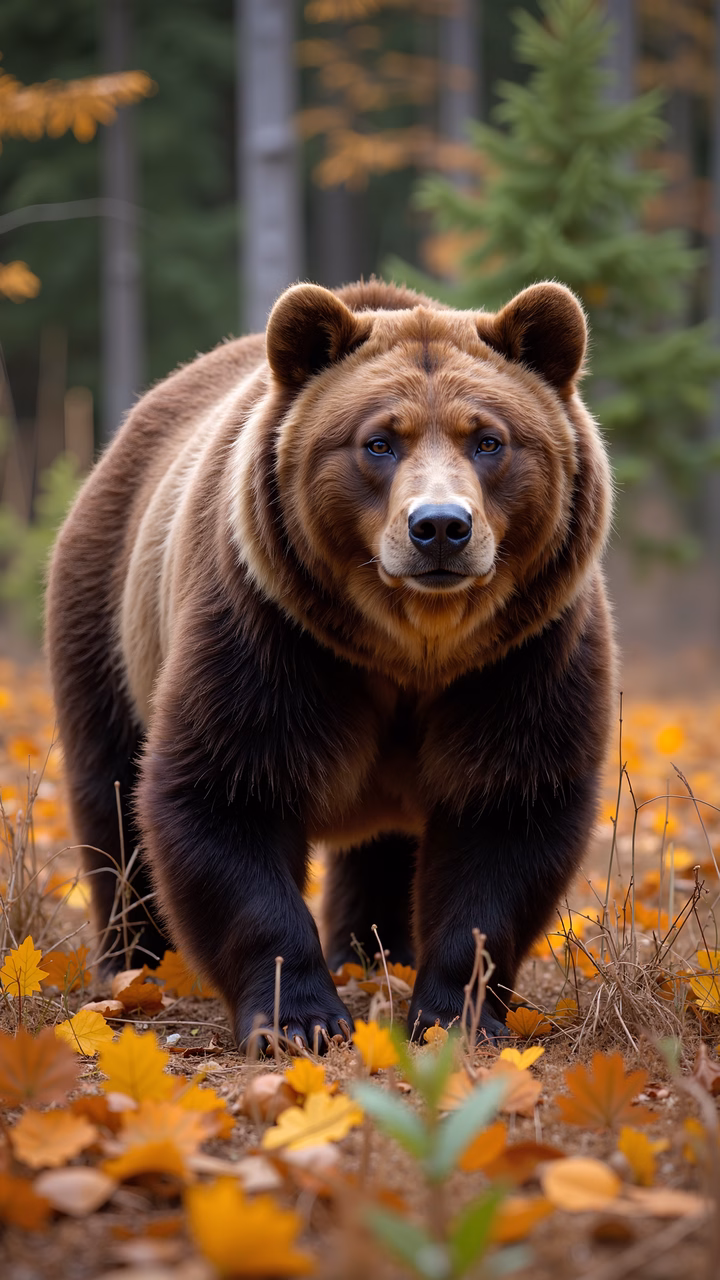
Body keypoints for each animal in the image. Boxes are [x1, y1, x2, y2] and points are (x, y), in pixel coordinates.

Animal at [45, 277, 616, 1047]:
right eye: (378, 441)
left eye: (489, 439)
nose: (441, 527)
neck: (412, 647)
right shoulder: (270, 634)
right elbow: (226, 791)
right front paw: (300, 1019)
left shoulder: (522, 659)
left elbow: (509, 812)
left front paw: (456, 1015)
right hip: (107, 615)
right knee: (109, 798)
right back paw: (133, 967)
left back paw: (374, 954)